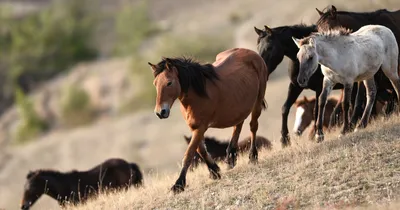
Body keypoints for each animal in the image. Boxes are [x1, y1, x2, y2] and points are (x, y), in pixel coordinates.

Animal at [149, 47, 268, 194]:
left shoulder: (200, 128)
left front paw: (178, 184)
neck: (197, 94)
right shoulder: (194, 128)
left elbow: (189, 153)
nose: (160, 112)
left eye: (169, 83)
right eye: (155, 84)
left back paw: (252, 157)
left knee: (253, 126)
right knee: (238, 125)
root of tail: (252, 53)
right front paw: (215, 171)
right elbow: (201, 150)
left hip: (257, 101)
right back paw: (231, 158)